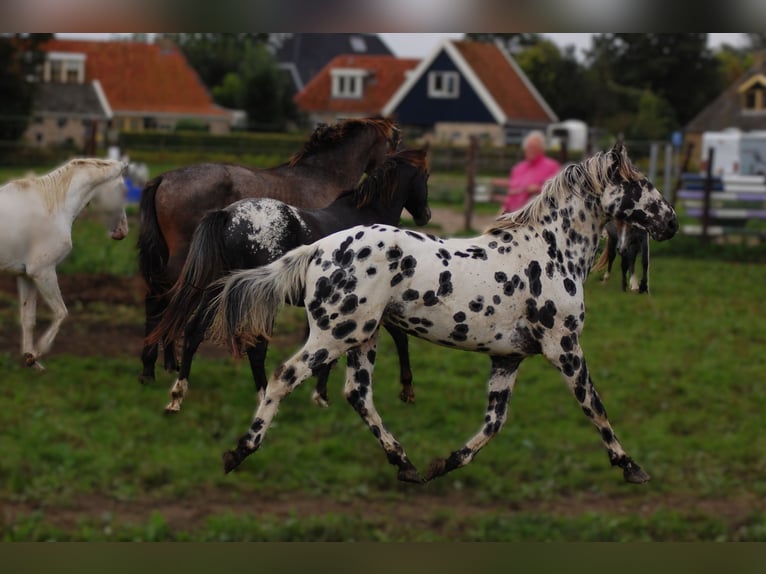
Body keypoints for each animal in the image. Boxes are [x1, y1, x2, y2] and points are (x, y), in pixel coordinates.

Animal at [0, 160, 129, 372]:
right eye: (124, 190)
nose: (122, 232)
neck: (55, 207)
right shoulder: (43, 273)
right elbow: (62, 313)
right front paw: (37, 353)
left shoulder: (26, 276)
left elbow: (28, 319)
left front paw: (31, 359)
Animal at [208, 141, 680, 486]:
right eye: (642, 183)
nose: (672, 222)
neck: (550, 251)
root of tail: (318, 248)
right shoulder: (563, 347)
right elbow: (594, 405)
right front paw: (631, 466)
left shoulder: (507, 358)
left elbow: (494, 422)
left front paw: (446, 462)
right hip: (336, 334)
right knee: (282, 377)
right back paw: (239, 452)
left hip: (363, 337)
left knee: (357, 394)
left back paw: (406, 464)